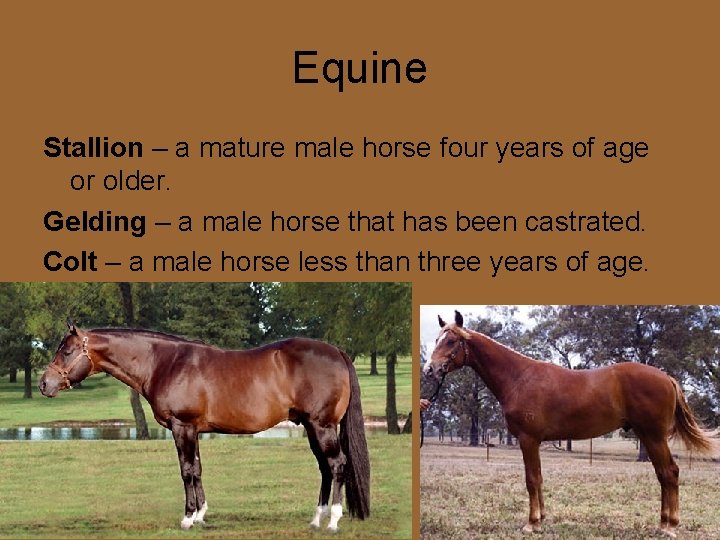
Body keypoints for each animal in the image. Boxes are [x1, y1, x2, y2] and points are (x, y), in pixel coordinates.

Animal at [39, 321, 370, 531]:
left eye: (66, 351)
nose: (44, 384)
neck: (164, 362)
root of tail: (337, 352)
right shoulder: (192, 430)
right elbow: (197, 469)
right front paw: (200, 516)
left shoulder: (181, 427)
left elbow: (186, 470)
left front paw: (187, 519)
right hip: (313, 428)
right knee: (325, 467)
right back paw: (316, 519)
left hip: (322, 426)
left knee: (337, 465)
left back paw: (333, 521)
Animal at [422, 310, 715, 538]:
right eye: (437, 339)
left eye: (451, 341)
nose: (429, 370)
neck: (519, 377)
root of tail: (667, 378)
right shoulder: (534, 441)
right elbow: (539, 478)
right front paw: (541, 519)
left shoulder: (528, 439)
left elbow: (531, 479)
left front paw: (531, 524)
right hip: (648, 435)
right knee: (663, 474)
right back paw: (664, 523)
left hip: (654, 436)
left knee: (670, 473)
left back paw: (669, 527)